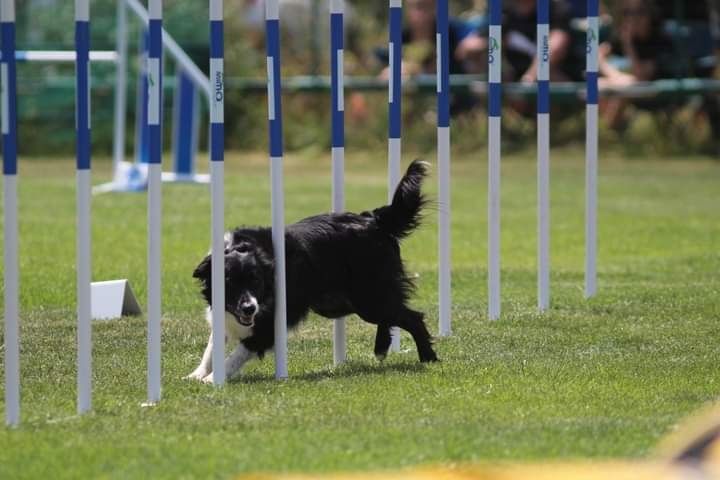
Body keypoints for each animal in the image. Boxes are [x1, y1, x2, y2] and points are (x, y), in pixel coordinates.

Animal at [188, 159, 436, 384]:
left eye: (256, 280)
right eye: (229, 282)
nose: (249, 308)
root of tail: (372, 220)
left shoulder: (268, 323)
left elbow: (237, 353)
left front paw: (212, 379)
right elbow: (211, 348)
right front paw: (196, 374)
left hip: (368, 296)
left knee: (412, 317)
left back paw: (428, 358)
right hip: (341, 302)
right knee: (393, 314)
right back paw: (383, 347)